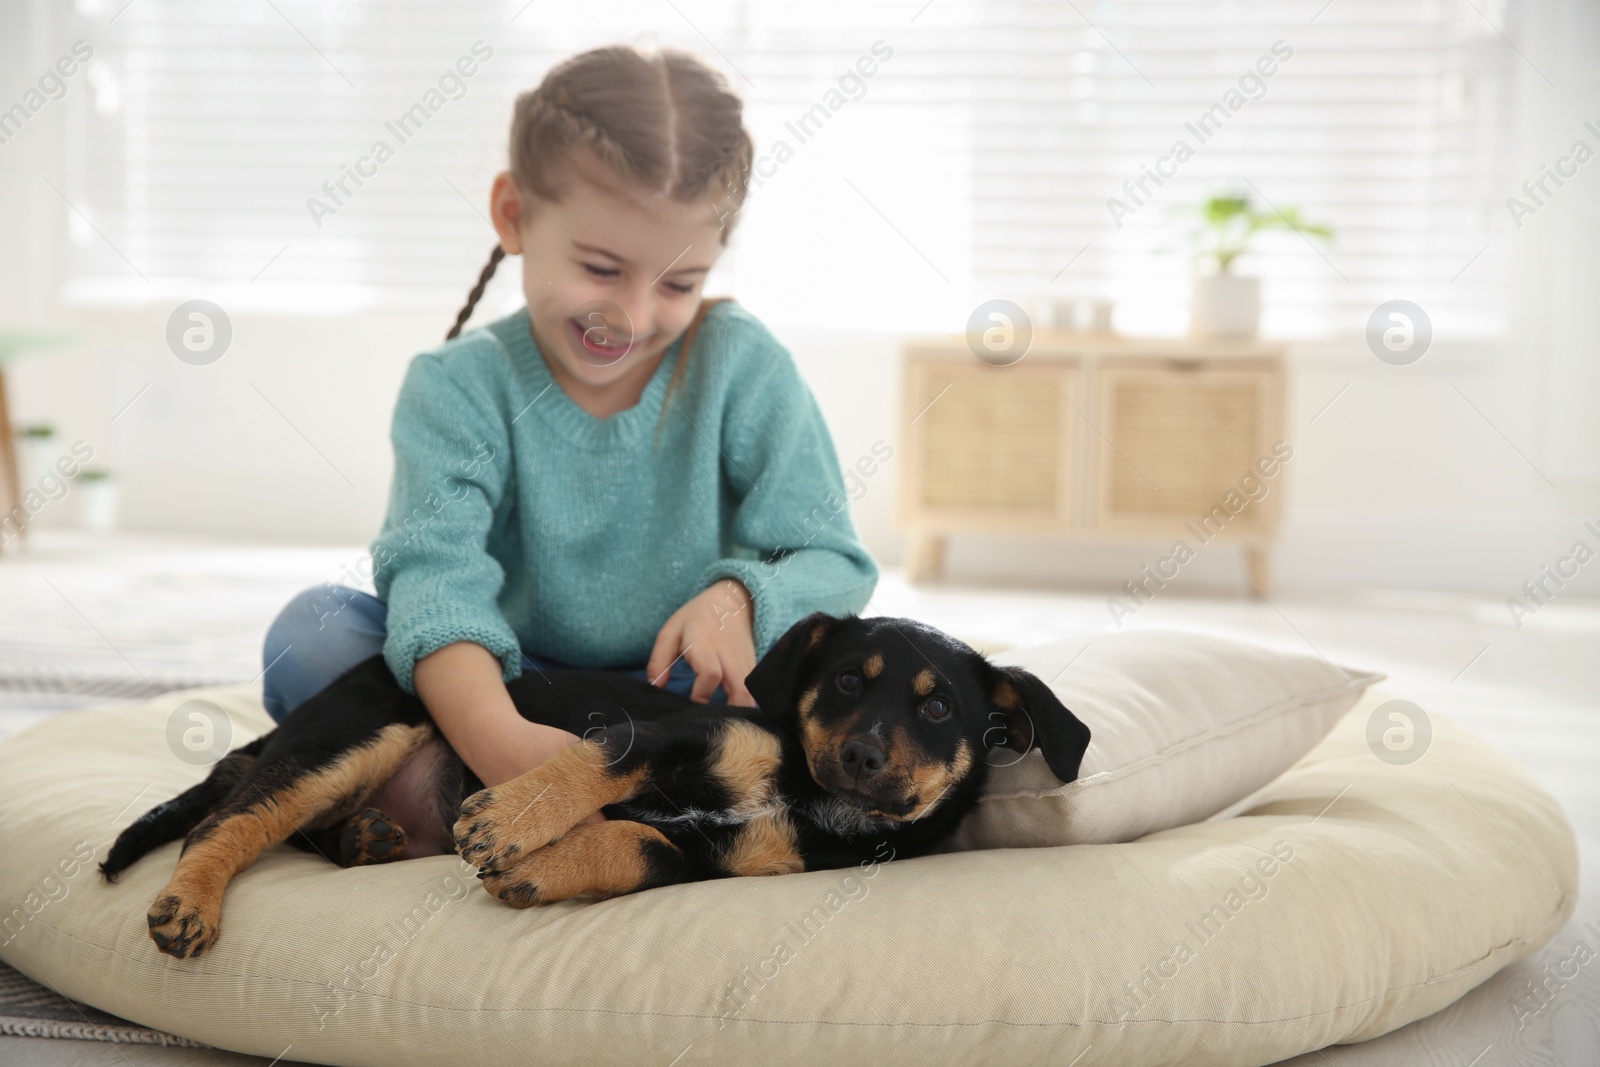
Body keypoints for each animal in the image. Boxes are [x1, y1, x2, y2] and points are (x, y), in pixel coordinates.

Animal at [96, 607, 1088, 959]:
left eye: (938, 708)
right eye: (846, 681)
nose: (863, 759)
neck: (805, 791)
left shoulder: (717, 858)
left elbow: (640, 844)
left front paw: (540, 866)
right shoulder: (662, 731)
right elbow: (585, 769)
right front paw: (511, 820)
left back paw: (367, 838)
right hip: (360, 733)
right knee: (228, 817)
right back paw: (190, 903)